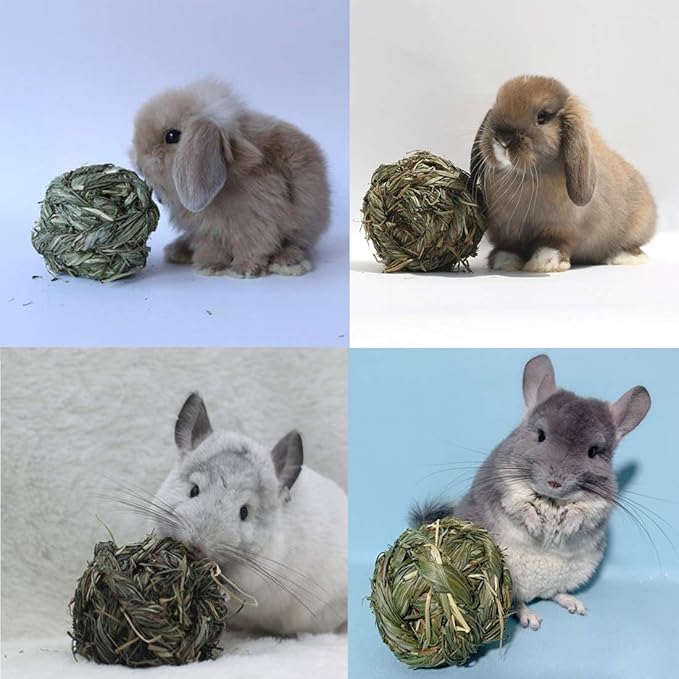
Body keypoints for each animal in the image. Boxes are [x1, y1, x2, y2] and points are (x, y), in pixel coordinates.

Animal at [131, 79, 330, 277]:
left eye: (172, 136)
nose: (139, 164)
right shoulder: (208, 231)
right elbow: (212, 247)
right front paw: (211, 266)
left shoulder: (256, 222)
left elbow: (253, 246)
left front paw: (245, 270)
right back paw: (178, 250)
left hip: (303, 223)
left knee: (296, 244)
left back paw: (286, 262)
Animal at [151, 393, 347, 636]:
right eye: (193, 490)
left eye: (244, 512)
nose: (197, 546)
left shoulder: (253, 578)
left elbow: (234, 592)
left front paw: (221, 593)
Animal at [412, 354, 651, 630]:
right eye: (541, 436)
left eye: (593, 452)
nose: (555, 481)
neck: (553, 500)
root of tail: (536, 591)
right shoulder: (505, 488)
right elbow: (521, 507)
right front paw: (538, 527)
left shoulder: (600, 503)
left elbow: (583, 513)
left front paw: (566, 527)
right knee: (518, 603)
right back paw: (531, 619)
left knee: (554, 593)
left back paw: (574, 604)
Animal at [469, 75, 656, 272]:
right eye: (497, 106)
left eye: (542, 117)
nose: (503, 139)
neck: (522, 177)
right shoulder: (506, 229)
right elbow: (509, 246)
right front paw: (504, 262)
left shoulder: (559, 229)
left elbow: (553, 245)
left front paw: (544, 264)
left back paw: (624, 257)